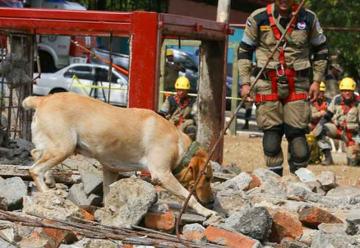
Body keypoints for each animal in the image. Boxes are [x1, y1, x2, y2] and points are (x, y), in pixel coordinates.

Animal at [22, 92, 217, 217]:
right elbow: (188, 196)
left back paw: (50, 179)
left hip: (56, 146)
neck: (179, 145)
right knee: (34, 169)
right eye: (207, 178)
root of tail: (42, 99)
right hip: (64, 147)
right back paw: (48, 193)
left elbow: (109, 194)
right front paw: (207, 212)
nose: (211, 201)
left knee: (35, 153)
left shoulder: (110, 170)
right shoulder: (162, 174)